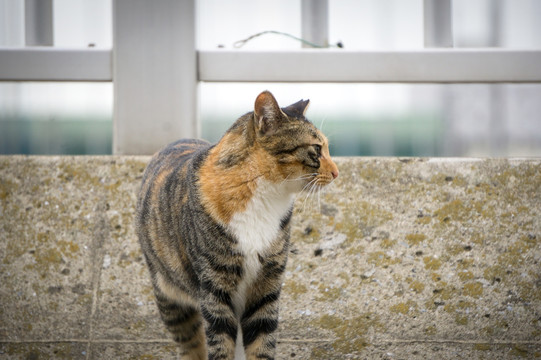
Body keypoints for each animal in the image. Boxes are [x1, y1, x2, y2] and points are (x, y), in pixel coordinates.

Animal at [135, 91, 338, 358]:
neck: (263, 197)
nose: (337, 172)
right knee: (190, 342)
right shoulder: (214, 288)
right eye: (316, 148)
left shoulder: (266, 286)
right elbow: (220, 344)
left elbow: (261, 342)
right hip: (169, 295)